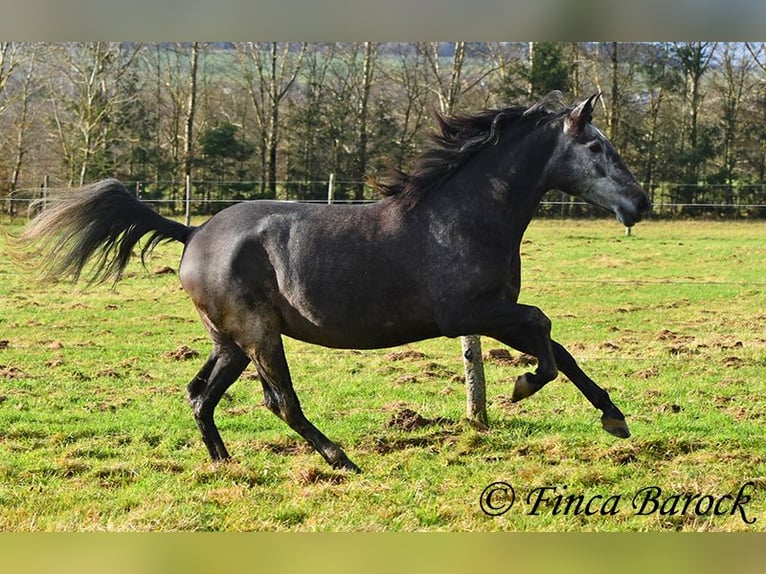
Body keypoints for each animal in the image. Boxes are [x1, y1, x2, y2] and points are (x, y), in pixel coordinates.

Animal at [21, 92, 652, 474]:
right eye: (595, 145)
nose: (640, 203)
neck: (464, 215)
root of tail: (193, 231)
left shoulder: (495, 310)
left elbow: (561, 348)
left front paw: (613, 417)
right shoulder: (469, 314)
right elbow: (546, 333)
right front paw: (522, 387)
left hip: (231, 342)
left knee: (200, 393)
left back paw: (226, 463)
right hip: (259, 336)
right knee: (280, 401)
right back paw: (340, 458)